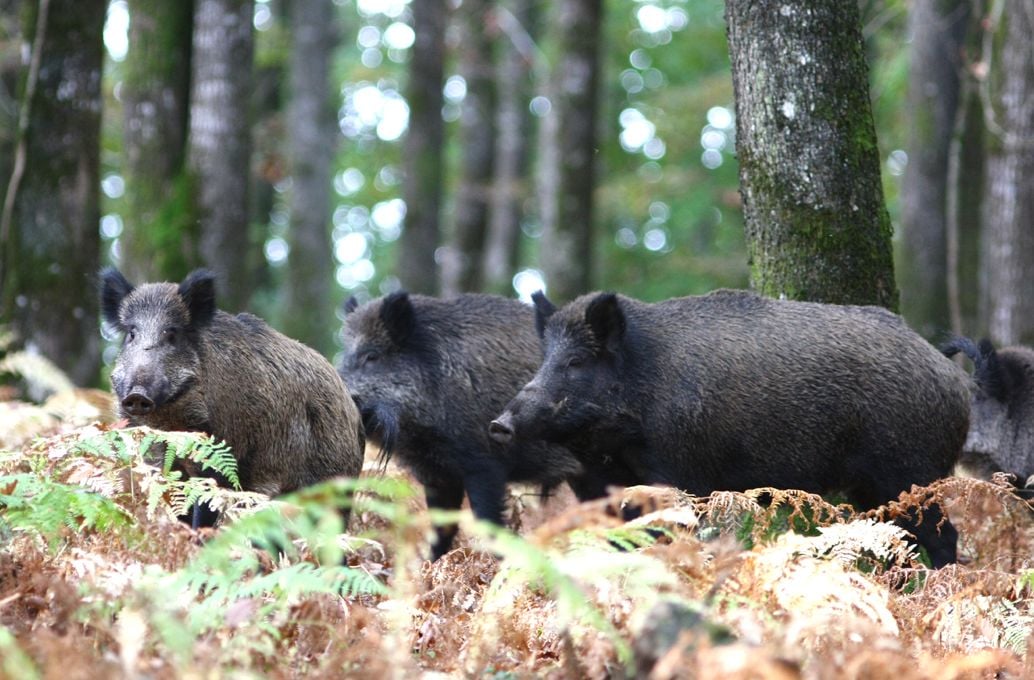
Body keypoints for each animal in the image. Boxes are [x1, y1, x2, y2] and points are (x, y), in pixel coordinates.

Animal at [339, 292, 590, 560]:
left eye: (372, 356)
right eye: (345, 357)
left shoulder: (484, 463)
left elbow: (487, 519)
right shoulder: (436, 474)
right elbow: (441, 526)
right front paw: (432, 562)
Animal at [491, 289, 971, 568]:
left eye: (576, 362)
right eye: (545, 359)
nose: (499, 425)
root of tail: (954, 378)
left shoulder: (683, 474)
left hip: (912, 470)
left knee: (943, 535)